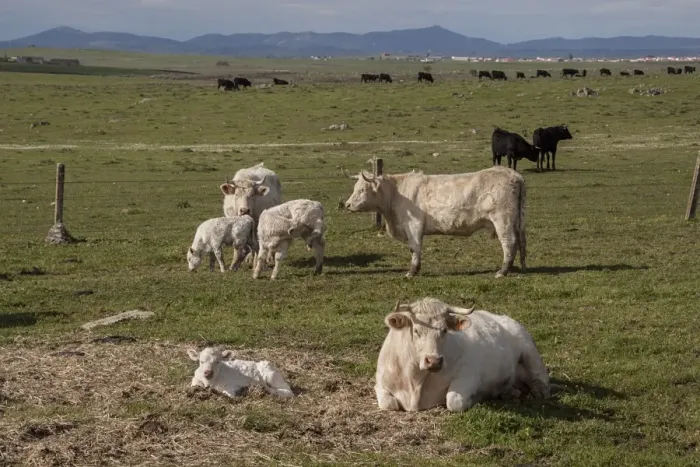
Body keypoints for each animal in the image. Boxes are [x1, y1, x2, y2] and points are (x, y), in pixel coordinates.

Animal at [342, 166, 527, 278]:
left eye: (362, 189)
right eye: (355, 188)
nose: (347, 205)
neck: (396, 194)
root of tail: (514, 175)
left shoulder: (414, 225)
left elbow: (414, 248)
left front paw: (412, 272)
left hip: (502, 220)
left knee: (509, 243)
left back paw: (502, 271)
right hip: (516, 222)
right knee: (520, 242)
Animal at [375, 297, 550, 412]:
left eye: (445, 330)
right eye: (416, 331)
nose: (434, 361)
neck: (415, 381)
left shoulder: (469, 376)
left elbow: (454, 401)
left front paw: (478, 398)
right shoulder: (380, 383)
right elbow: (389, 404)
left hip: (529, 350)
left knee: (541, 376)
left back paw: (539, 391)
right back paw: (509, 392)